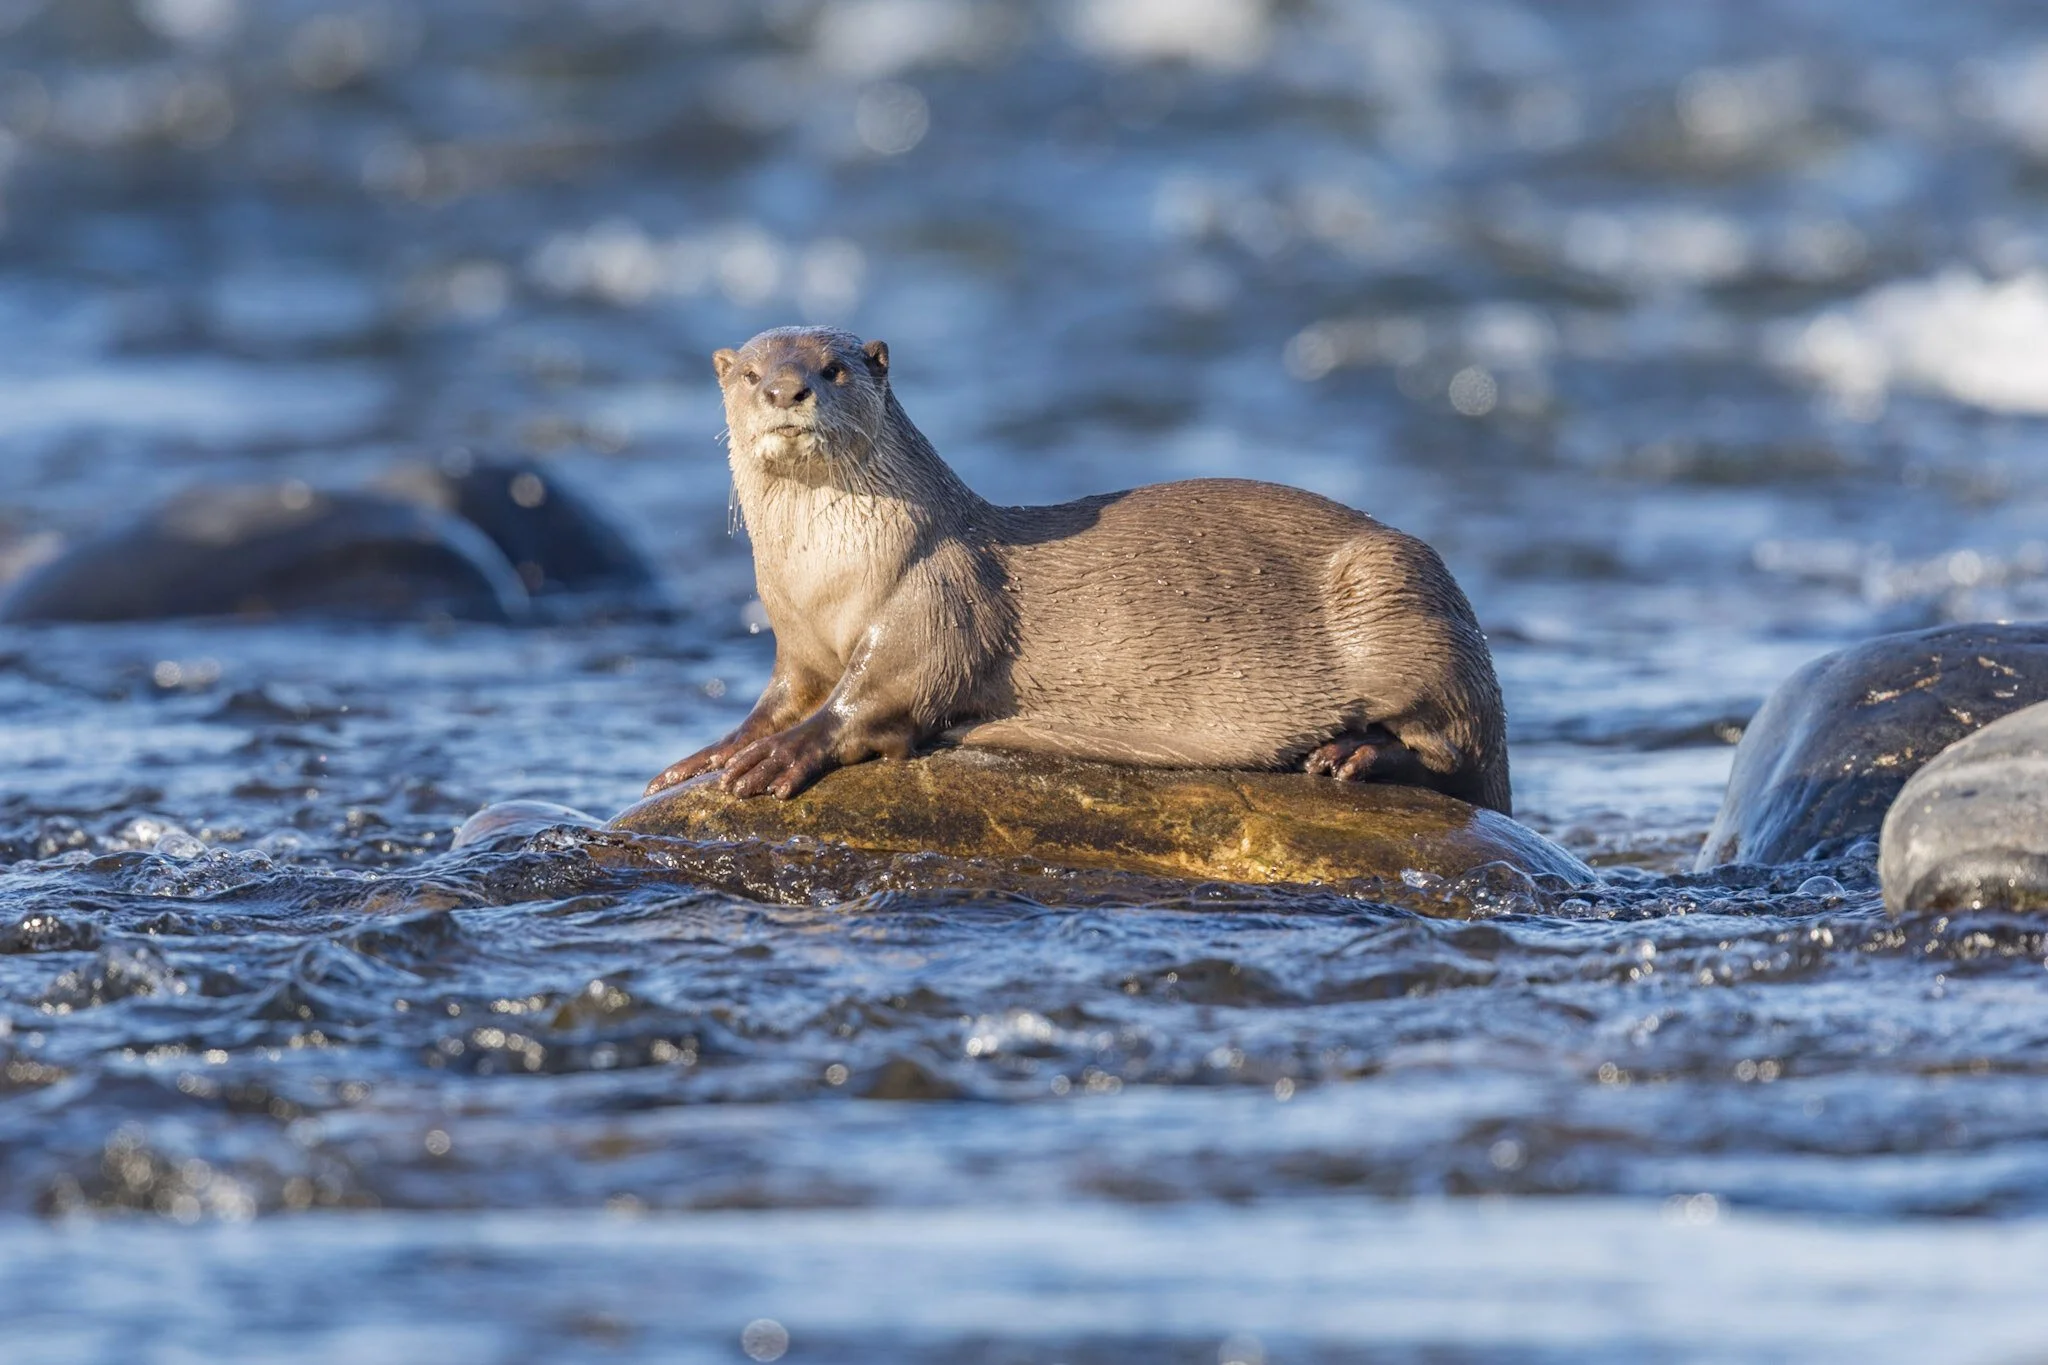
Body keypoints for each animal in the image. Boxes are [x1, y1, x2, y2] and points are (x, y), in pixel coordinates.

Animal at [646, 326, 1511, 813]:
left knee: (1455, 750)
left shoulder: (935, 601)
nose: (787, 390)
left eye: (833, 369)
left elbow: (874, 698)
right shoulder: (794, 645)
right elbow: (778, 700)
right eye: (749, 374)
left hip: (1394, 592)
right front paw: (707, 754)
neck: (824, 579)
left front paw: (778, 757)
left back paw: (1350, 753)